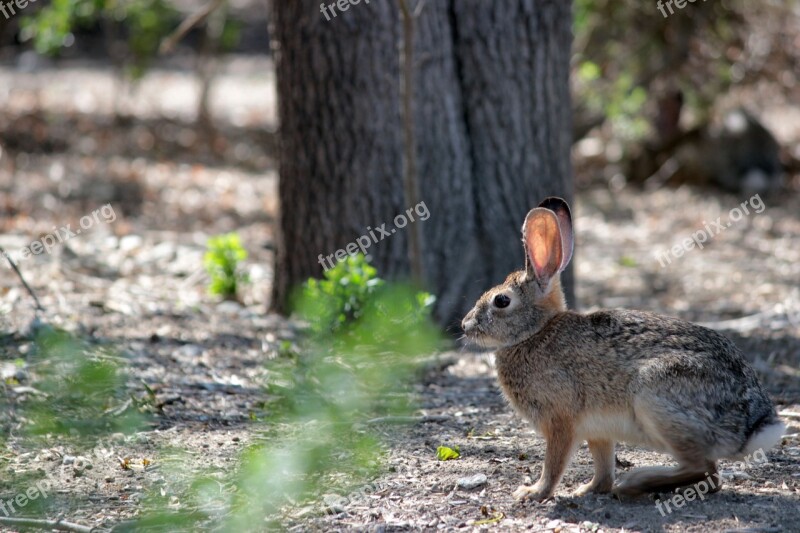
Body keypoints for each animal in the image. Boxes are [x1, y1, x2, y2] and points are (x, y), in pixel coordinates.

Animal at [460, 197, 784, 500]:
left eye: (501, 301)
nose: (465, 325)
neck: (536, 332)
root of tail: (751, 426)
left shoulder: (561, 420)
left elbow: (554, 463)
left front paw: (534, 492)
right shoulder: (598, 431)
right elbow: (603, 465)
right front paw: (588, 489)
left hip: (655, 398)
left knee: (703, 469)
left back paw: (635, 482)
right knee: (709, 477)